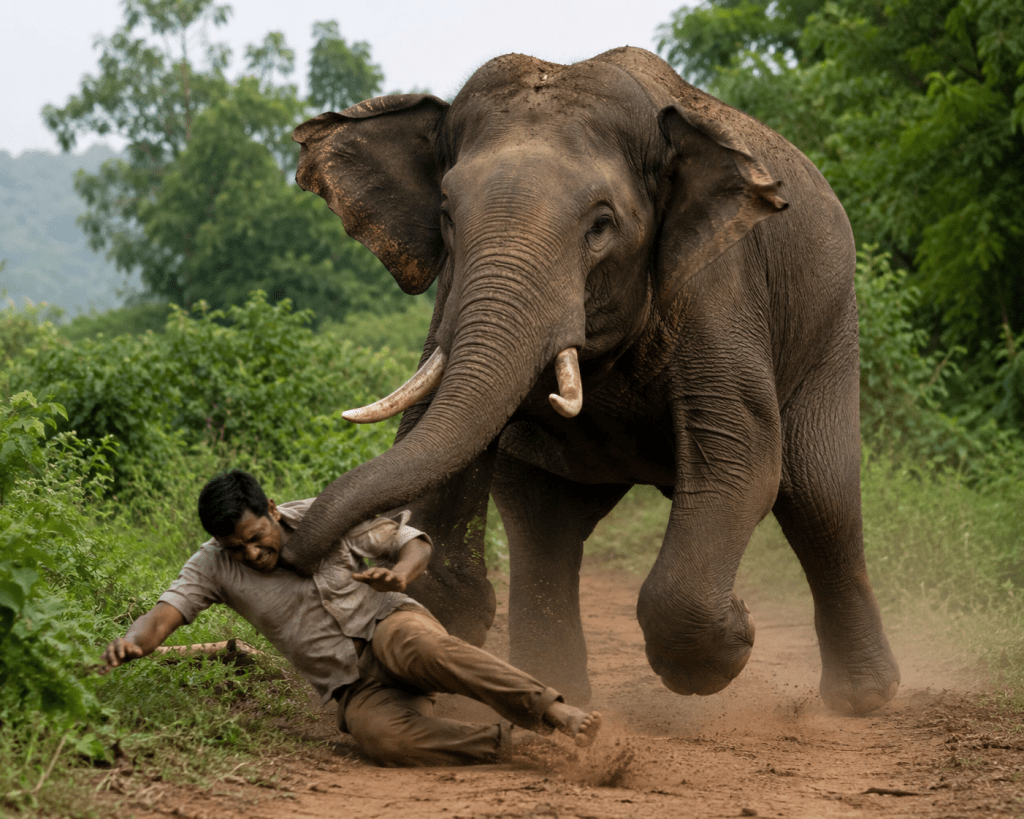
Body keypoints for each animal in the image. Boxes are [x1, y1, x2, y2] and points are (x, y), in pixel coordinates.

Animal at [283, 46, 900, 716]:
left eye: (601, 225)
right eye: (445, 216)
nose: (285, 544)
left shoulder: (720, 285)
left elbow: (740, 458)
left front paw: (731, 644)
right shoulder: (450, 294)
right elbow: (441, 441)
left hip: (832, 327)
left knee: (820, 497)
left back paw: (862, 701)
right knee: (544, 516)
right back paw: (558, 688)